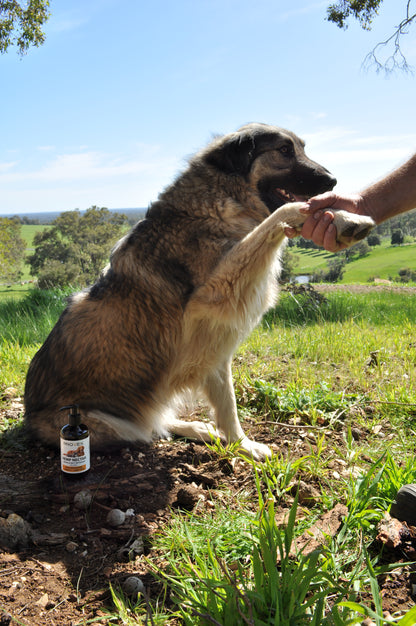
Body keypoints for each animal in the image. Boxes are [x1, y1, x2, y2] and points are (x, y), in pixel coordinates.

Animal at [24, 124, 374, 460]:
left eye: (302, 148)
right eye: (285, 150)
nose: (332, 179)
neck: (217, 201)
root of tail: (28, 419)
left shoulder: (214, 346)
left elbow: (228, 405)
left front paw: (241, 445)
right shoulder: (212, 297)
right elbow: (287, 210)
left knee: (159, 422)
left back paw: (201, 429)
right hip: (109, 424)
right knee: (148, 429)